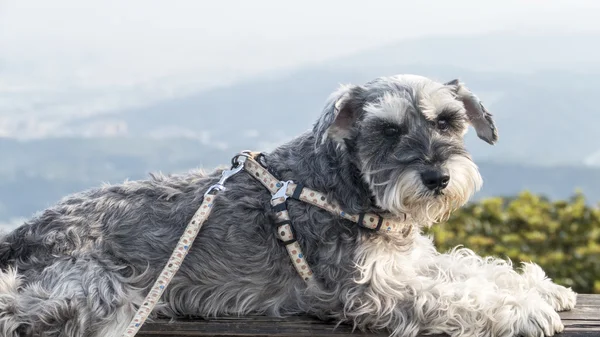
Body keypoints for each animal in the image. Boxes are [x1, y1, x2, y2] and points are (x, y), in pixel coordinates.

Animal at [0, 74, 576, 336]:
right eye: (388, 129)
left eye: (448, 120)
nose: (437, 177)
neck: (347, 188)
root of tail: (22, 235)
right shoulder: (375, 291)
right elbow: (456, 296)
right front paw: (524, 309)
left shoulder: (406, 260)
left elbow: (468, 266)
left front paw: (542, 287)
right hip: (101, 295)